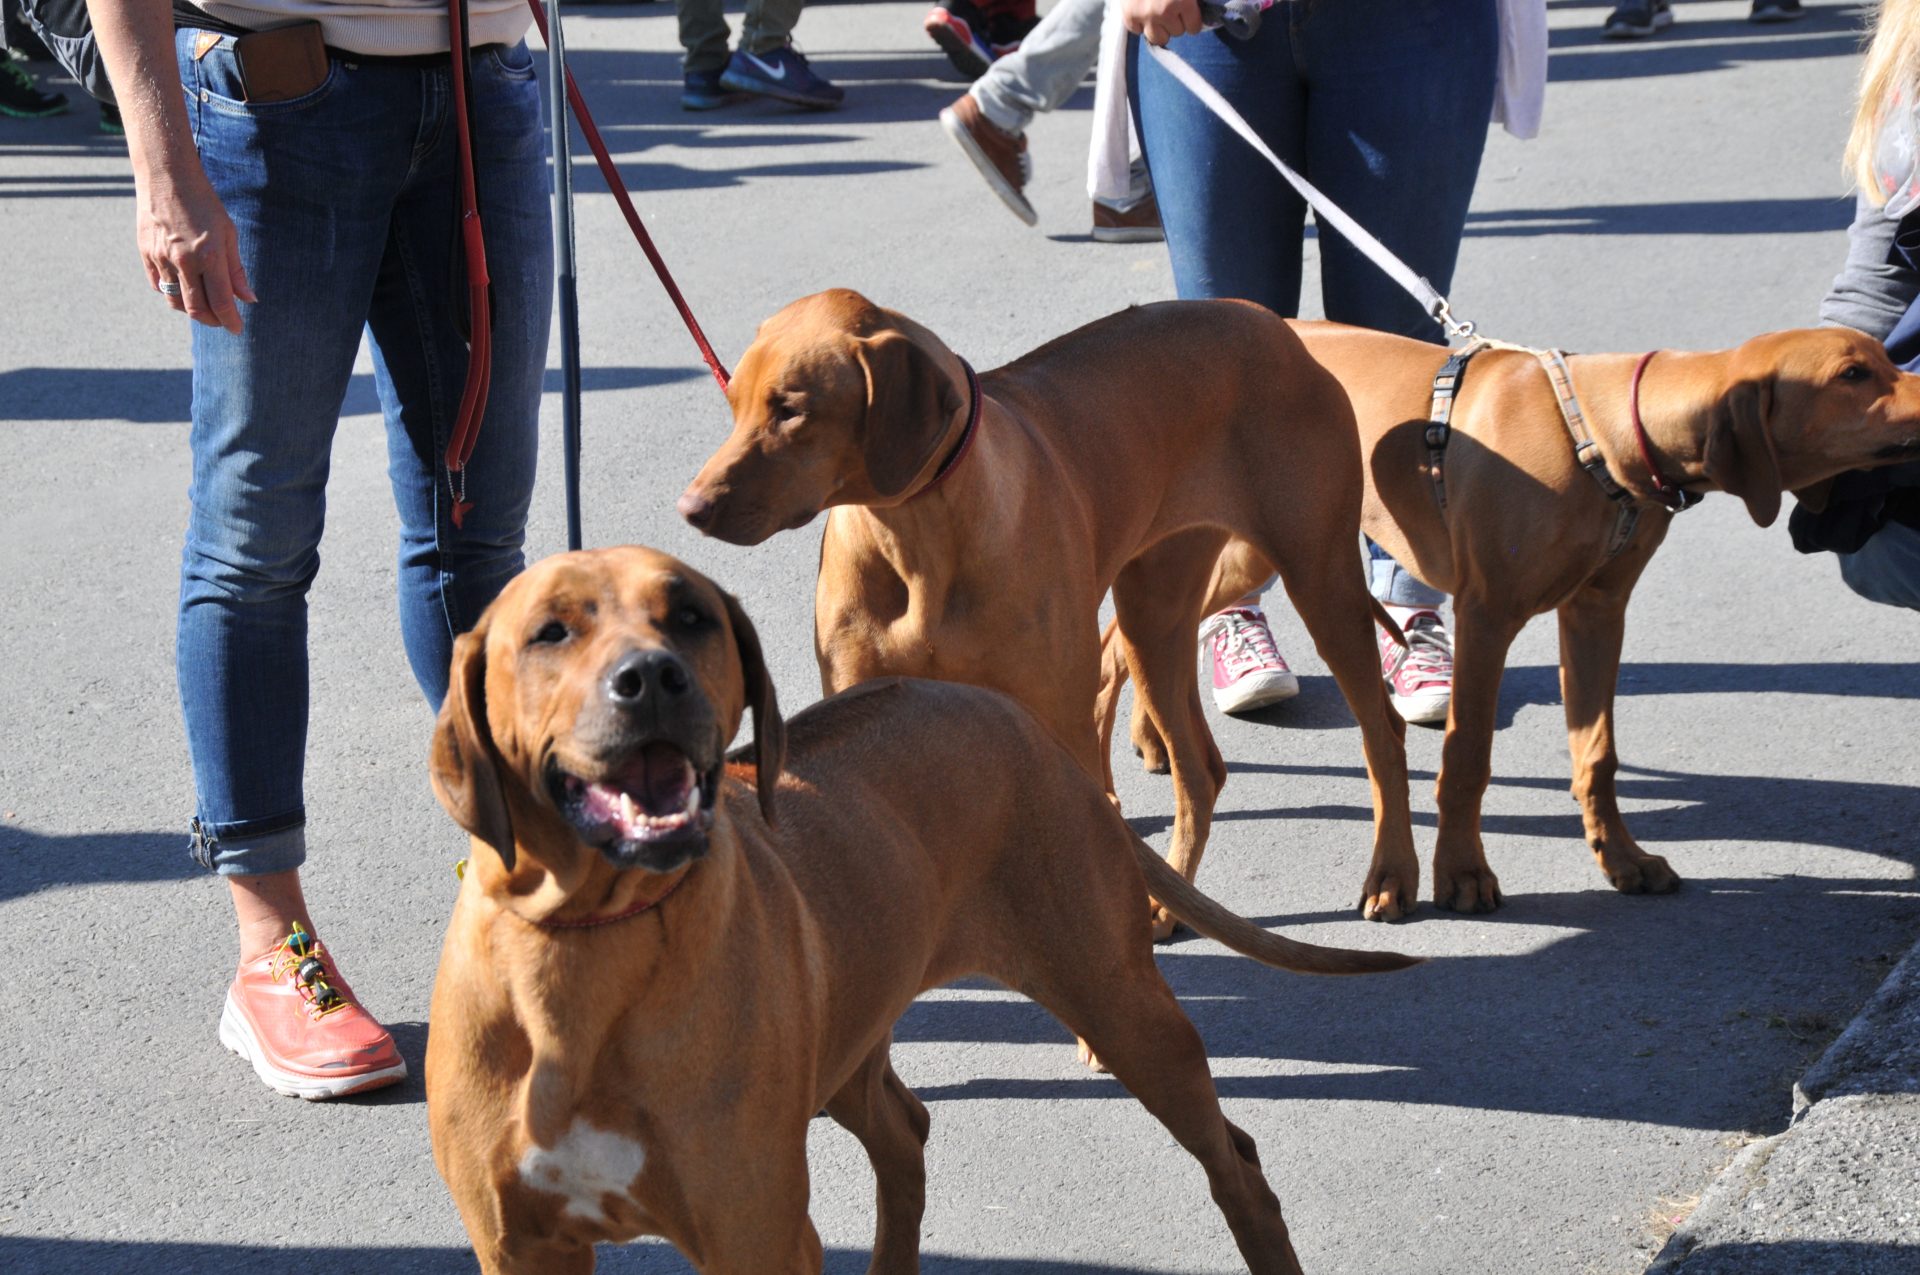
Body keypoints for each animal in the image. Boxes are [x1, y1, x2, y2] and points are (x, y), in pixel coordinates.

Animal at [428, 549, 1420, 1275]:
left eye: (691, 616)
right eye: (550, 631)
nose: (655, 677)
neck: (585, 946)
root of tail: (1033, 733)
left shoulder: (755, 1232)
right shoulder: (516, 1245)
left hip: (1122, 1006)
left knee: (1236, 1162)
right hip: (846, 1038)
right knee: (905, 1134)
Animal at [683, 288, 1420, 937]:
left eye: (790, 410)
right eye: (734, 403)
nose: (691, 508)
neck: (916, 527)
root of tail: (1270, 322)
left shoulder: (1055, 718)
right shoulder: (861, 708)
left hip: (1318, 577)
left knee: (1379, 730)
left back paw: (1391, 872)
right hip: (1155, 610)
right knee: (1202, 767)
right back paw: (1173, 897)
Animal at [1098, 318, 1920, 917]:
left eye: (1886, 358)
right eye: (1852, 375)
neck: (1598, 431)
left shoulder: (1596, 613)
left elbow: (1597, 754)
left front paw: (1623, 858)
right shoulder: (1487, 613)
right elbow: (1466, 754)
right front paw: (1461, 873)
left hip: (1242, 551)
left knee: (1121, 642)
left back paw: (1140, 750)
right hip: (1289, 557)